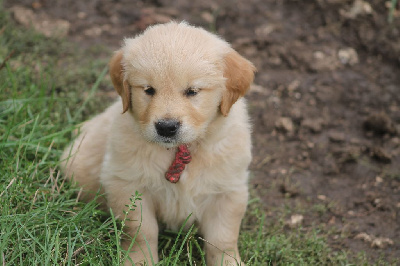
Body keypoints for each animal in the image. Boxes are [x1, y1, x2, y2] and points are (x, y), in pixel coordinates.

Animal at [61, 21, 256, 264]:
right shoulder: (127, 183)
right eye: (148, 90)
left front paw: (228, 262)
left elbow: (222, 239)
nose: (166, 127)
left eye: (192, 91)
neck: (179, 150)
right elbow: (141, 231)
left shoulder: (228, 190)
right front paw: (141, 261)